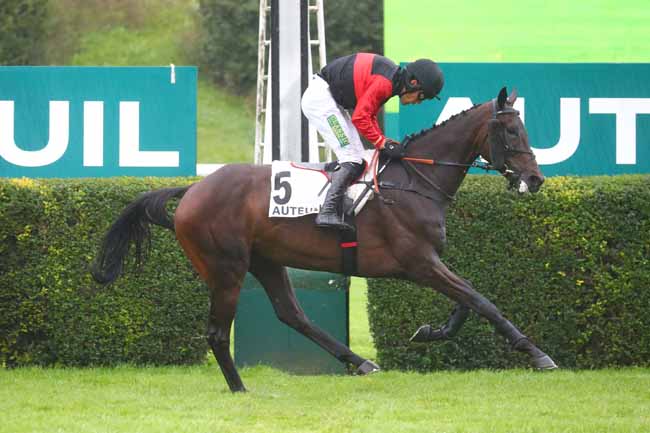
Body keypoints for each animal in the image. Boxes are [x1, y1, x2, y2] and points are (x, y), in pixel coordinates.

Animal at [92, 88, 556, 392]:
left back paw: (360, 362)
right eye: (511, 132)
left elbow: (467, 300)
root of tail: (192, 191)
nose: (534, 179)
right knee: (218, 333)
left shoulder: (428, 262)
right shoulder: (418, 262)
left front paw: (430, 331)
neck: (413, 181)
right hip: (226, 268)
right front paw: (537, 354)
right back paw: (240, 388)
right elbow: (481, 300)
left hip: (266, 260)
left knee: (292, 314)